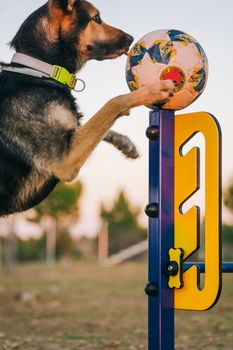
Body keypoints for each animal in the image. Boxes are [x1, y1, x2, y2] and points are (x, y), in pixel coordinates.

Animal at [0, 0, 174, 217]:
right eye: (96, 18)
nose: (131, 38)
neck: (39, 69)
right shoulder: (64, 160)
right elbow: (113, 103)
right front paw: (153, 91)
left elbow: (92, 124)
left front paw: (123, 142)